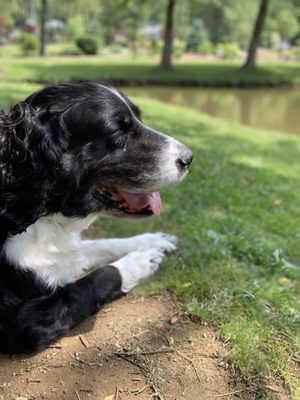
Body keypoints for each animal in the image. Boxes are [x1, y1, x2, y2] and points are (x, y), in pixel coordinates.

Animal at [0, 82, 192, 354]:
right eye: (118, 130)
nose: (189, 158)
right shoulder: (23, 322)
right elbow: (92, 282)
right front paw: (141, 261)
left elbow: (98, 245)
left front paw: (151, 241)